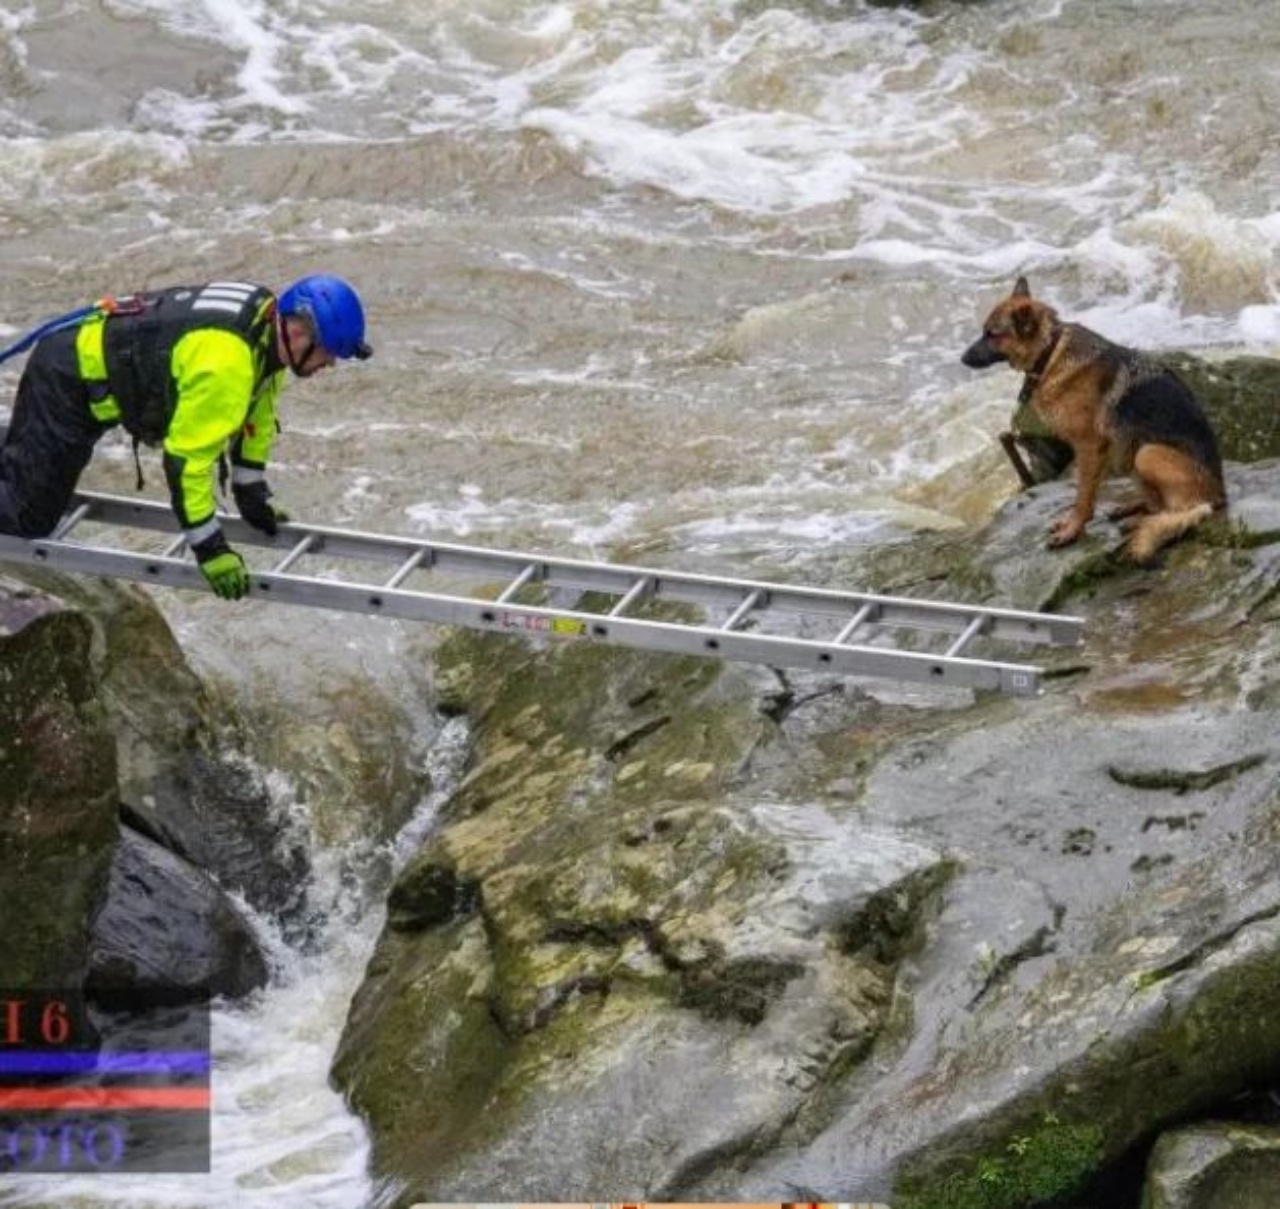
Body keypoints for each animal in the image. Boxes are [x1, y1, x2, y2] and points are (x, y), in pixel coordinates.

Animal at [962, 278, 1228, 565]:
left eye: (992, 334)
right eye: (984, 332)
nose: (962, 359)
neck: (1050, 352)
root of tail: (1219, 495)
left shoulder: (1089, 446)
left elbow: (1083, 496)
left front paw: (1073, 530)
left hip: (1146, 453)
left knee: (1176, 511)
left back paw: (1139, 522)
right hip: (1131, 454)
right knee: (1158, 505)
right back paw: (1133, 510)